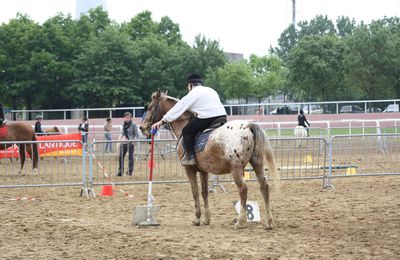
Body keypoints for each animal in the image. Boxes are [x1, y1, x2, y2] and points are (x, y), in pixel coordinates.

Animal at [139, 90, 276, 229]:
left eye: (149, 108)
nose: (142, 127)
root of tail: (249, 125)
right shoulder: (203, 171)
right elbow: (204, 192)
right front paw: (206, 219)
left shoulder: (189, 170)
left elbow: (194, 192)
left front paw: (197, 218)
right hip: (257, 164)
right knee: (264, 187)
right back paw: (268, 222)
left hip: (236, 169)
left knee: (243, 189)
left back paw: (240, 221)